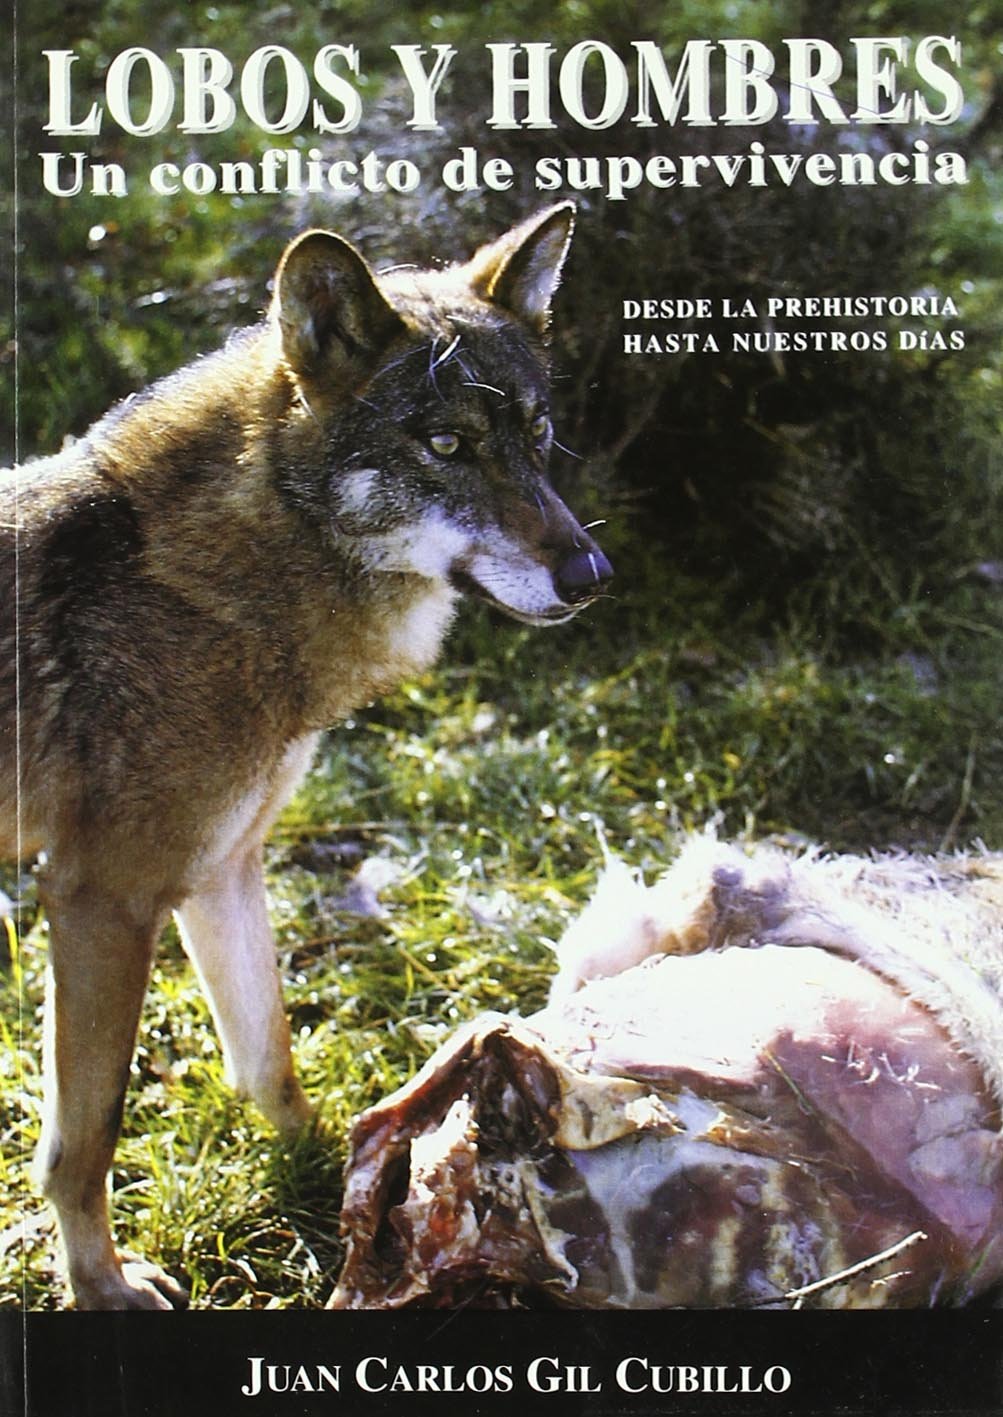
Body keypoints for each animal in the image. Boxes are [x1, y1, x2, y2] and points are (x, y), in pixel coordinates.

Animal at [0, 203, 611, 1308]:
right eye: (447, 443)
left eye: (538, 437)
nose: (592, 574)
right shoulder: (101, 893)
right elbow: (86, 1136)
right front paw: (101, 1284)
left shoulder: (221, 870)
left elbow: (268, 1059)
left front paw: (347, 1170)